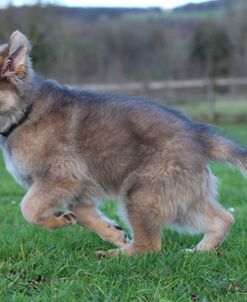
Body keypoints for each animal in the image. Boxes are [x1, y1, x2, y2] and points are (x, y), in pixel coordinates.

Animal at [0, 31, 245, 258]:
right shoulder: (78, 191)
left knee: (148, 246)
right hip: (181, 199)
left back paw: (113, 256)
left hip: (141, 193)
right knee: (224, 219)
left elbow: (28, 209)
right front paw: (113, 233)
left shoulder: (61, 176)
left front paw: (59, 220)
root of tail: (199, 134)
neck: (24, 112)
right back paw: (199, 250)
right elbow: (86, 216)